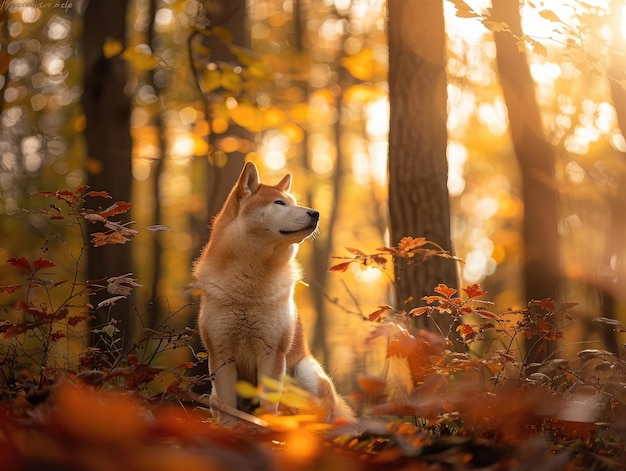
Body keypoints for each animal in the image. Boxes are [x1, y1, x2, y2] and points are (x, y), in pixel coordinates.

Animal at [193, 162, 354, 424]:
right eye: (279, 203)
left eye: (293, 201)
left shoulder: (272, 352)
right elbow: (228, 408)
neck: (249, 289)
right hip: (213, 393)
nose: (316, 213)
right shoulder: (221, 353)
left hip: (304, 370)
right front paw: (229, 428)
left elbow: (268, 404)